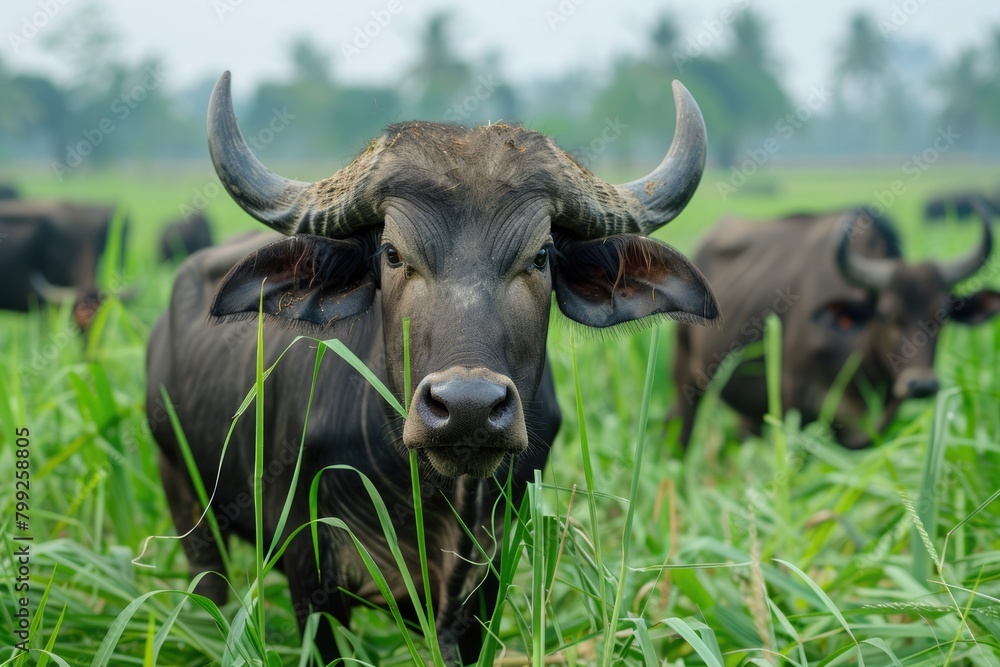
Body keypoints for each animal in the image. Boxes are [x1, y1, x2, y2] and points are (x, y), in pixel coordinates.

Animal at [147, 72, 719, 663]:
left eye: (540, 256)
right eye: (393, 254)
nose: (468, 408)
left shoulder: (483, 582)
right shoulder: (310, 577)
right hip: (186, 503)